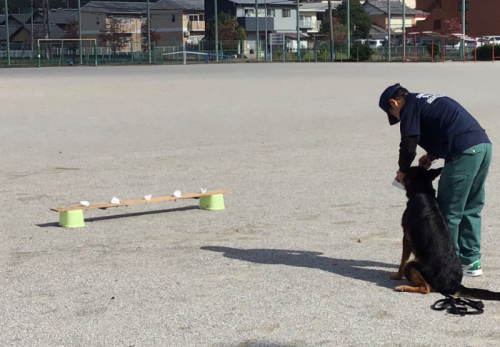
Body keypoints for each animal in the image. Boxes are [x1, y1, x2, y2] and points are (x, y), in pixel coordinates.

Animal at [390, 167, 500, 302]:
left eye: (408, 170)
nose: (399, 170)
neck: (423, 190)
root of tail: (453, 283)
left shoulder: (406, 238)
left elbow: (402, 261)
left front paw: (397, 276)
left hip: (411, 264)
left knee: (425, 288)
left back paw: (403, 287)